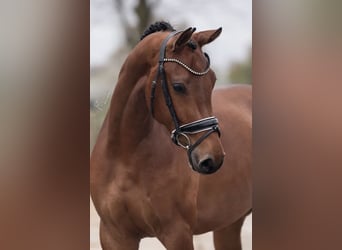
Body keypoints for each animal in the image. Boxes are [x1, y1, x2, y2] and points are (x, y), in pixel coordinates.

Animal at [91, 22, 251, 250]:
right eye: (178, 86)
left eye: (212, 81)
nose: (213, 158)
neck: (125, 156)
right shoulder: (114, 235)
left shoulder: (177, 233)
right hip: (229, 223)